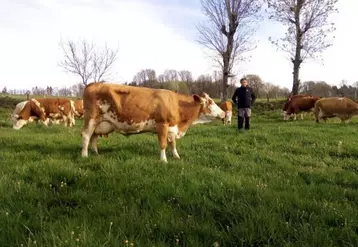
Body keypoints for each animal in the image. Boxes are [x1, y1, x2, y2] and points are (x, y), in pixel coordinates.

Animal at [81, 82, 224, 162]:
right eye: (211, 102)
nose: (223, 113)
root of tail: (93, 84)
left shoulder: (172, 128)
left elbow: (173, 144)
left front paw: (176, 157)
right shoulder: (162, 125)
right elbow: (163, 144)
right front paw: (164, 160)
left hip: (99, 123)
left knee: (93, 137)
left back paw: (95, 153)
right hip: (91, 119)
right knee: (86, 136)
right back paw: (84, 155)